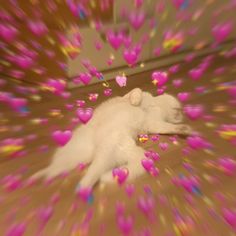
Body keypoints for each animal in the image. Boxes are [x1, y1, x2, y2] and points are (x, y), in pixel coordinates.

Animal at [32, 88, 192, 188]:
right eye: (178, 112)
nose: (181, 117)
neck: (155, 105)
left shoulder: (154, 124)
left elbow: (167, 128)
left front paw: (184, 129)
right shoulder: (129, 97)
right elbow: (137, 91)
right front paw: (136, 100)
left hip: (107, 154)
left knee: (86, 175)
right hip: (83, 156)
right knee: (56, 171)